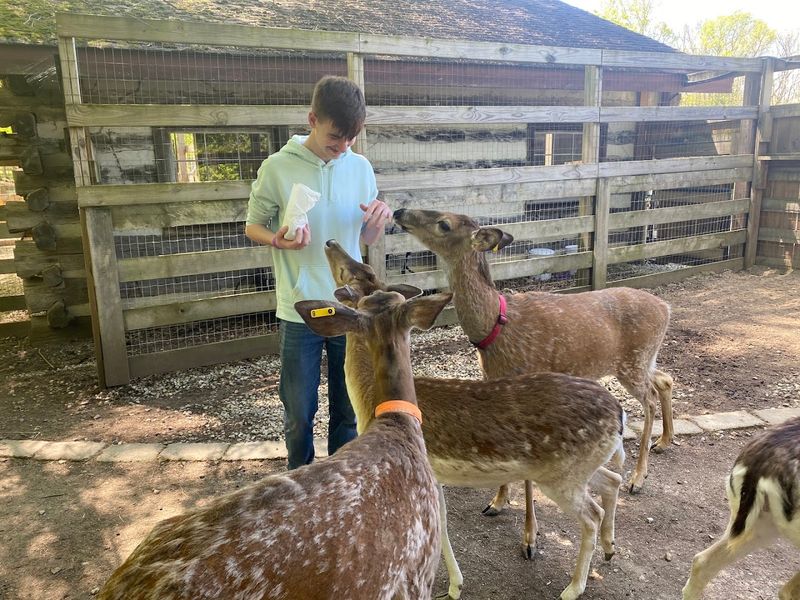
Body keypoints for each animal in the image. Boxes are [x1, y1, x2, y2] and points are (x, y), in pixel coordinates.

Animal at [322, 238, 626, 600]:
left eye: (355, 272)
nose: (331, 242)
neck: (370, 402)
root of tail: (619, 412)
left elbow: (438, 528)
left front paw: (453, 587)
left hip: (562, 476)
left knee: (592, 514)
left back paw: (573, 587)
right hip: (577, 468)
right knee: (613, 480)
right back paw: (609, 548)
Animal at [393, 208, 674, 507]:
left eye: (444, 224)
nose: (399, 211)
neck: (494, 327)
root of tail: (666, 308)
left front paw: (502, 502)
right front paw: (497, 501)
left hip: (634, 361)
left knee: (650, 400)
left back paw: (638, 477)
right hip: (643, 360)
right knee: (665, 379)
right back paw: (663, 441)